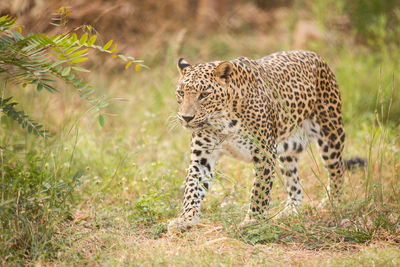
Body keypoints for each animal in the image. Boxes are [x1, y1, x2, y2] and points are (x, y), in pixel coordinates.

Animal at [169, 49, 366, 232]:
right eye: (181, 93)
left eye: (204, 94)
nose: (186, 117)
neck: (221, 122)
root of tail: (315, 55)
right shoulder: (202, 155)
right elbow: (192, 187)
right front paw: (185, 219)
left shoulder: (264, 152)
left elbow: (259, 190)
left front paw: (253, 221)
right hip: (287, 151)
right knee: (295, 185)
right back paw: (291, 210)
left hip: (331, 134)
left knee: (337, 169)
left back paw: (333, 202)